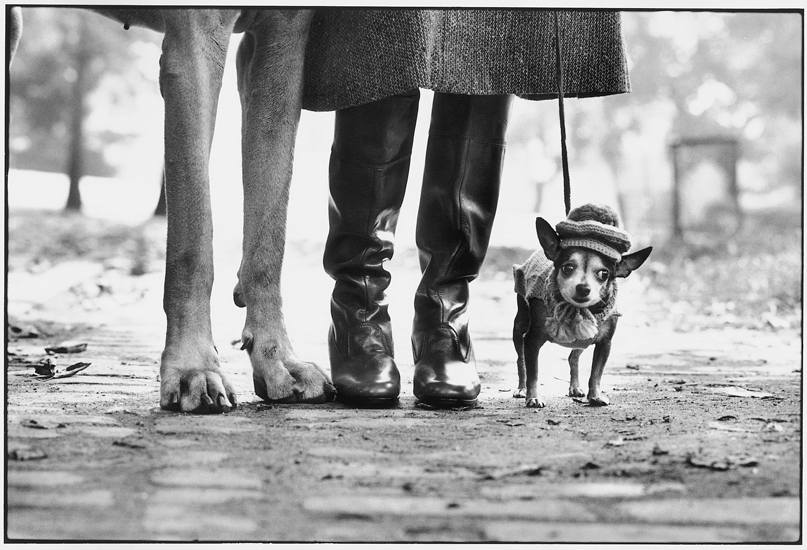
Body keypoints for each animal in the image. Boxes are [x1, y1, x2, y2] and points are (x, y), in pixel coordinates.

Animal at [516, 205, 652, 408]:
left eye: (604, 274)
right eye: (567, 268)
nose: (583, 288)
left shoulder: (604, 344)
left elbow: (596, 373)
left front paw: (595, 396)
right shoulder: (532, 340)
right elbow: (533, 371)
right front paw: (533, 397)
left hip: (582, 341)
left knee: (573, 358)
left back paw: (575, 387)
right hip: (519, 327)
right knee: (521, 360)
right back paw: (521, 389)